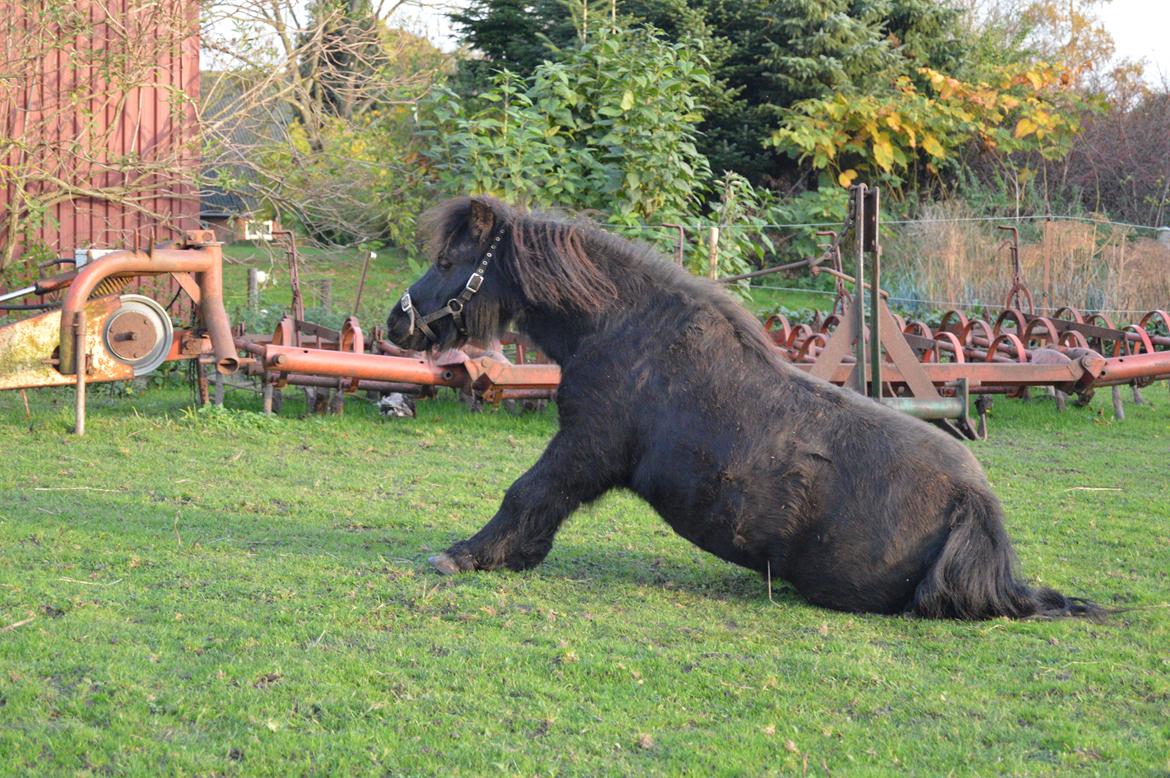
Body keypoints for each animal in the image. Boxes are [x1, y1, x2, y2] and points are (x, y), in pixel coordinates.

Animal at [388, 195, 1099, 617]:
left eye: (448, 260)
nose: (399, 321)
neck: (624, 329)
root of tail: (974, 505)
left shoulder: (586, 447)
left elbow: (528, 492)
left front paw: (469, 554)